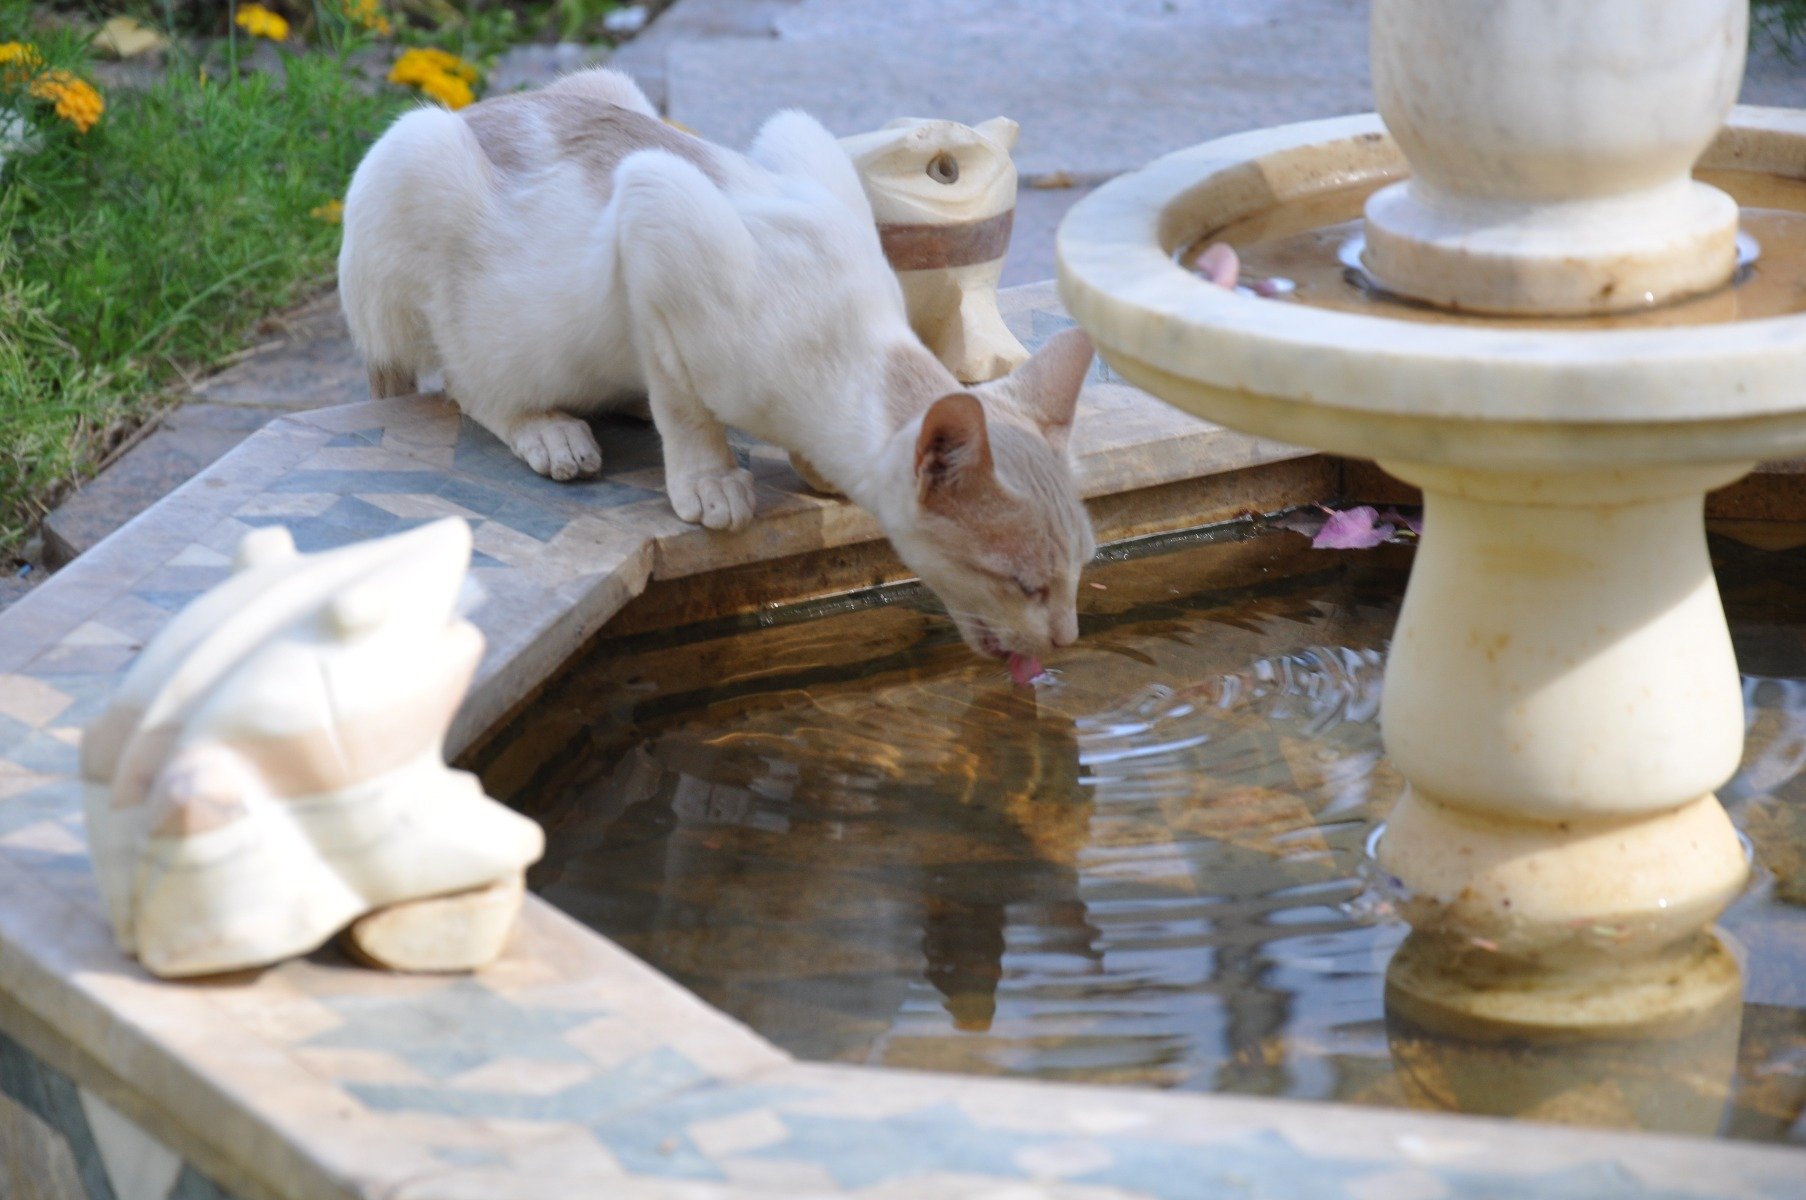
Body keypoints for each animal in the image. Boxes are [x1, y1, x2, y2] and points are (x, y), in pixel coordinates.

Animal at [341, 70, 1098, 679]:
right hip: (413, 160)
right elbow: (682, 398)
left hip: (609, 83)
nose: (1068, 638)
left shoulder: (799, 138)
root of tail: (479, 107)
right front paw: (709, 482)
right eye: (1025, 585)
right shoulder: (653, 205)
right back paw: (551, 431)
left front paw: (815, 471)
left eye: (1080, 569)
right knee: (463, 382)